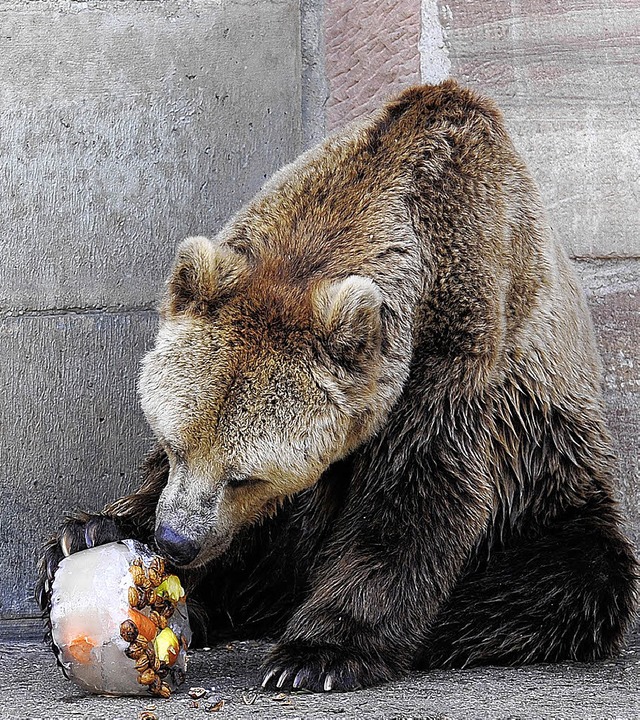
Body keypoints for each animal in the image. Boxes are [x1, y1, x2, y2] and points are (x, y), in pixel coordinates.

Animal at [37, 80, 636, 692]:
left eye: (245, 476)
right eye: (174, 444)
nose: (177, 541)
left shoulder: (453, 354)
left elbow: (412, 500)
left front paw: (316, 654)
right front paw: (89, 530)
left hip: (550, 482)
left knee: (566, 578)